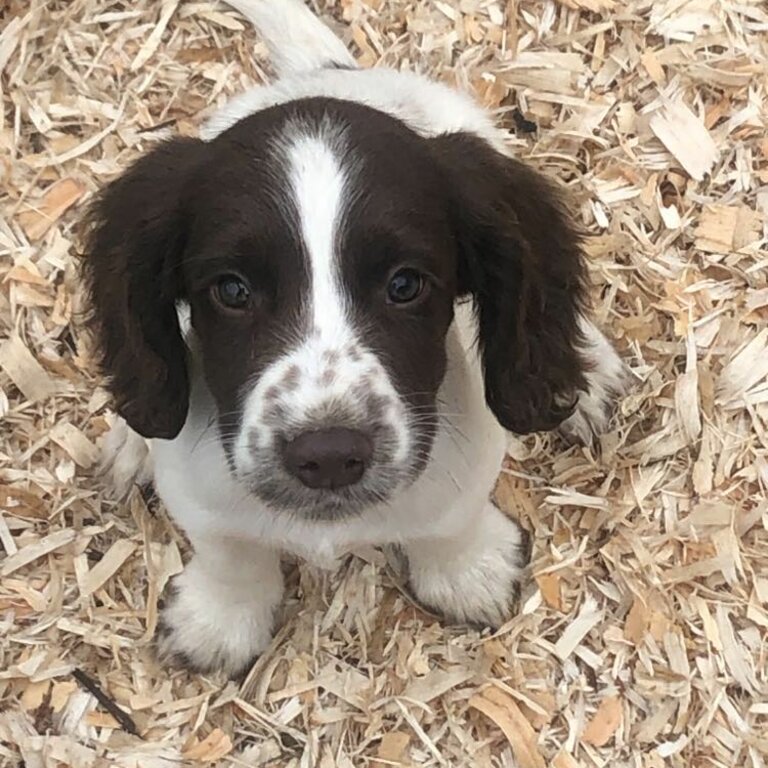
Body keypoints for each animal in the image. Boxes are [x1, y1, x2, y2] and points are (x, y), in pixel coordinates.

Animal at [84, 0, 628, 680]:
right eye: (231, 290)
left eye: (405, 284)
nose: (328, 455)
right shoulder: (201, 492)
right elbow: (230, 553)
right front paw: (219, 621)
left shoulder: (463, 465)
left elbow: (451, 523)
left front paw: (468, 573)